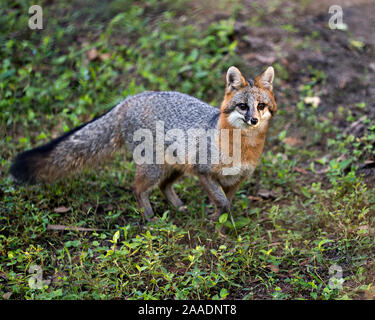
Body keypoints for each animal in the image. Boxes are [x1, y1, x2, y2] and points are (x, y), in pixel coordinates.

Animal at [10, 66, 278, 221]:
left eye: (261, 106)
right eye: (242, 106)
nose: (253, 120)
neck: (242, 149)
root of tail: (130, 99)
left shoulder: (236, 180)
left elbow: (227, 204)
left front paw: (221, 227)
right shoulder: (204, 172)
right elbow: (222, 202)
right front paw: (214, 221)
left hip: (174, 168)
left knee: (162, 186)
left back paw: (178, 208)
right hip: (154, 168)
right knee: (138, 188)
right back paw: (150, 219)